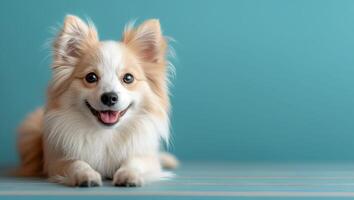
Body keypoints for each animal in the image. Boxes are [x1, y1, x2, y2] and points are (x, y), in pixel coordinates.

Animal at [16, 14, 177, 187]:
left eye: (128, 78)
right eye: (91, 77)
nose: (109, 97)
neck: (106, 134)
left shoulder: (147, 158)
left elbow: (134, 162)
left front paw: (128, 175)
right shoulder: (57, 162)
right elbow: (76, 163)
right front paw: (86, 175)